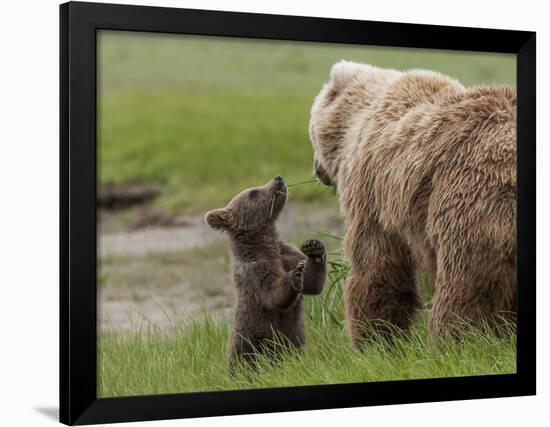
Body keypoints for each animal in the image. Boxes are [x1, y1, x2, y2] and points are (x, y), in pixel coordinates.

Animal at [310, 61, 516, 344]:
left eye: (310, 132)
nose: (317, 170)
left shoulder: (370, 188)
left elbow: (376, 263)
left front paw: (374, 338)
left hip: (470, 199)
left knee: (466, 285)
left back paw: (454, 338)